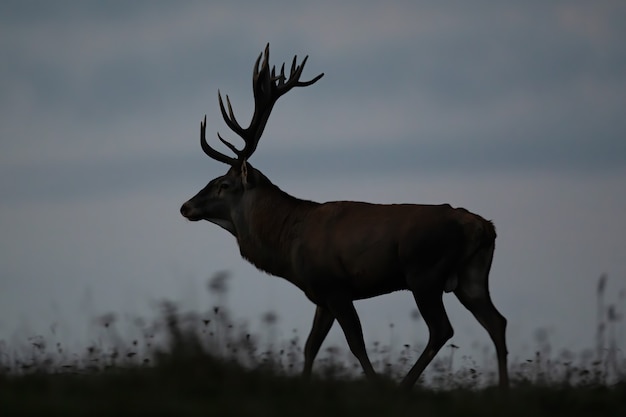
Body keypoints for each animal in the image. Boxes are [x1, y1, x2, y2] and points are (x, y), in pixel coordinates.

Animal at [179, 44, 508, 388]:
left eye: (223, 184)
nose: (185, 206)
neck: (287, 242)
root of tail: (485, 228)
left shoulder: (335, 285)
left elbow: (355, 343)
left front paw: (375, 385)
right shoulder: (322, 296)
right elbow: (310, 346)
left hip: (424, 272)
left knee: (443, 329)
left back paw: (404, 386)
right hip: (471, 275)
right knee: (497, 321)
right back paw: (502, 387)